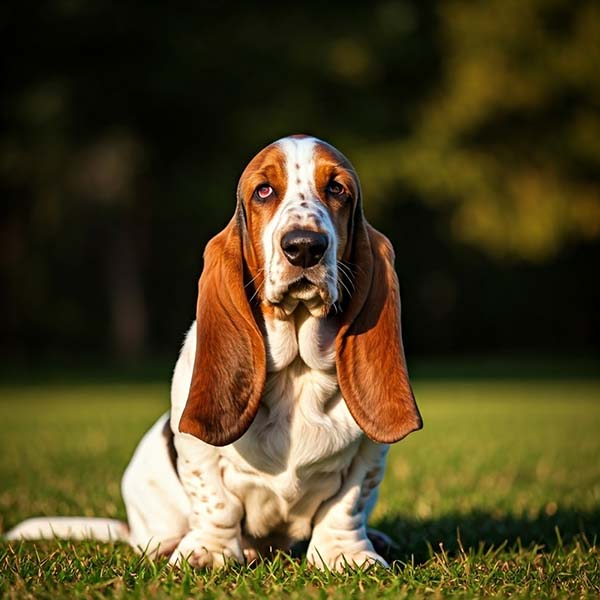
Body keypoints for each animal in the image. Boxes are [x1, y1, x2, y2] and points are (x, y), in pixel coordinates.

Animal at [8, 136, 422, 572]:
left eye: (338, 189)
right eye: (264, 191)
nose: (304, 246)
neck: (296, 370)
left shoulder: (368, 456)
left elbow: (347, 504)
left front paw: (347, 554)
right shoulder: (198, 452)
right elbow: (215, 500)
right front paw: (208, 552)